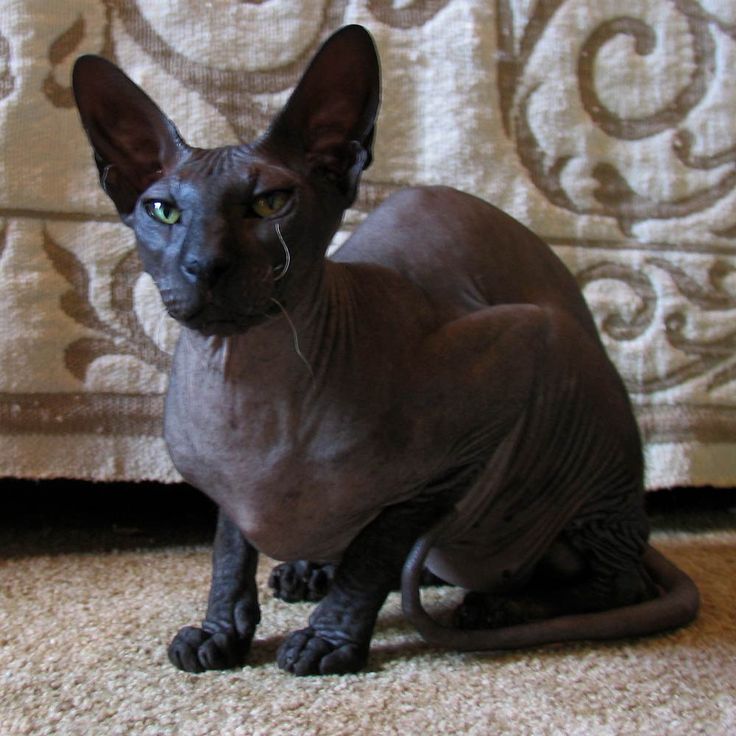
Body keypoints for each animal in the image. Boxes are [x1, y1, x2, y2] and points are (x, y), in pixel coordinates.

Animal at [72, 25, 700, 676]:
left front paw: (330, 638)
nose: (204, 264)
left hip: (576, 417)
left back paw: (498, 606)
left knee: (620, 584)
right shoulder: (230, 492)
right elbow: (228, 549)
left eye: (271, 204)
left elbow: (377, 548)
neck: (246, 382)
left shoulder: (504, 376)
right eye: (163, 211)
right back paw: (311, 570)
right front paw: (220, 629)